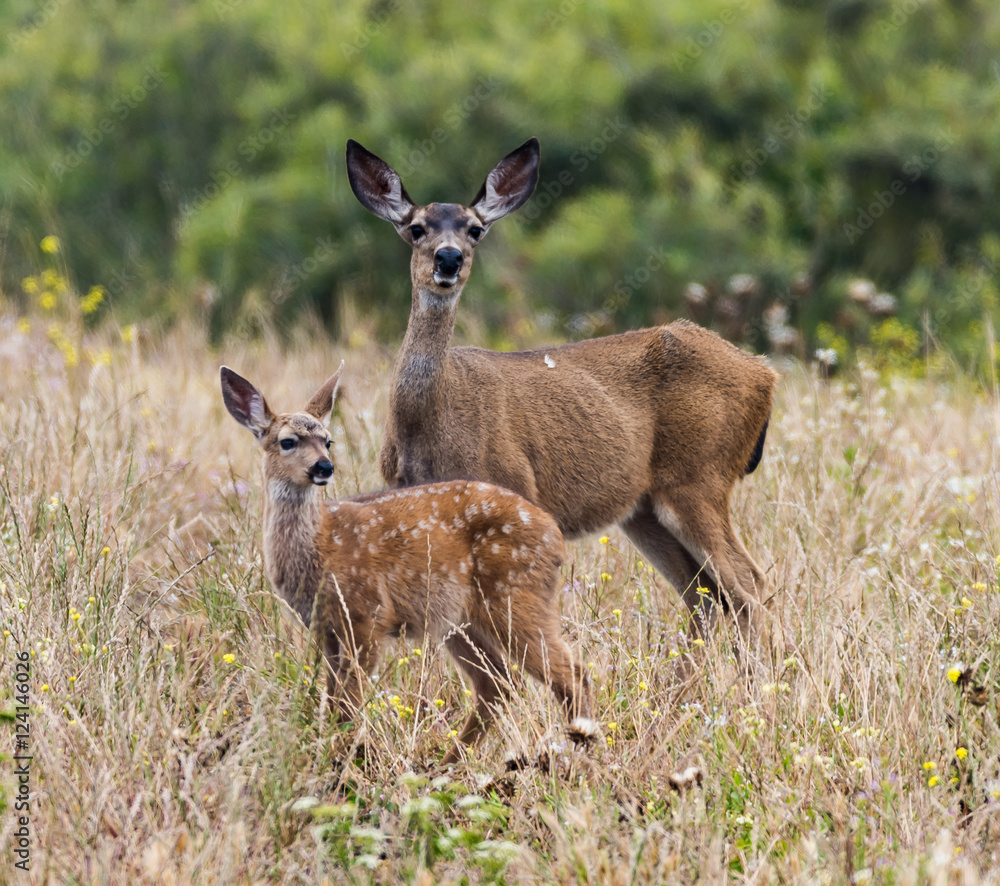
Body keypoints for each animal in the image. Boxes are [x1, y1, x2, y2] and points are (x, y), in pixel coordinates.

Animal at [220, 364, 596, 764]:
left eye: (328, 440)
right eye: (287, 441)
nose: (324, 467)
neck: (321, 545)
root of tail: (554, 535)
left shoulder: (368, 615)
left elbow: (349, 703)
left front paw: (349, 759)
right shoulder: (326, 628)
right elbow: (334, 701)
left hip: (515, 595)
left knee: (569, 672)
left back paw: (579, 751)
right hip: (460, 620)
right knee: (498, 681)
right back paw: (447, 763)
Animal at [346, 137, 780, 656]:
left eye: (475, 230)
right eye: (416, 228)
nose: (448, 259)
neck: (430, 421)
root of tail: (765, 373)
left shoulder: (512, 486)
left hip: (700, 476)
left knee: (750, 585)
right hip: (645, 508)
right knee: (707, 597)